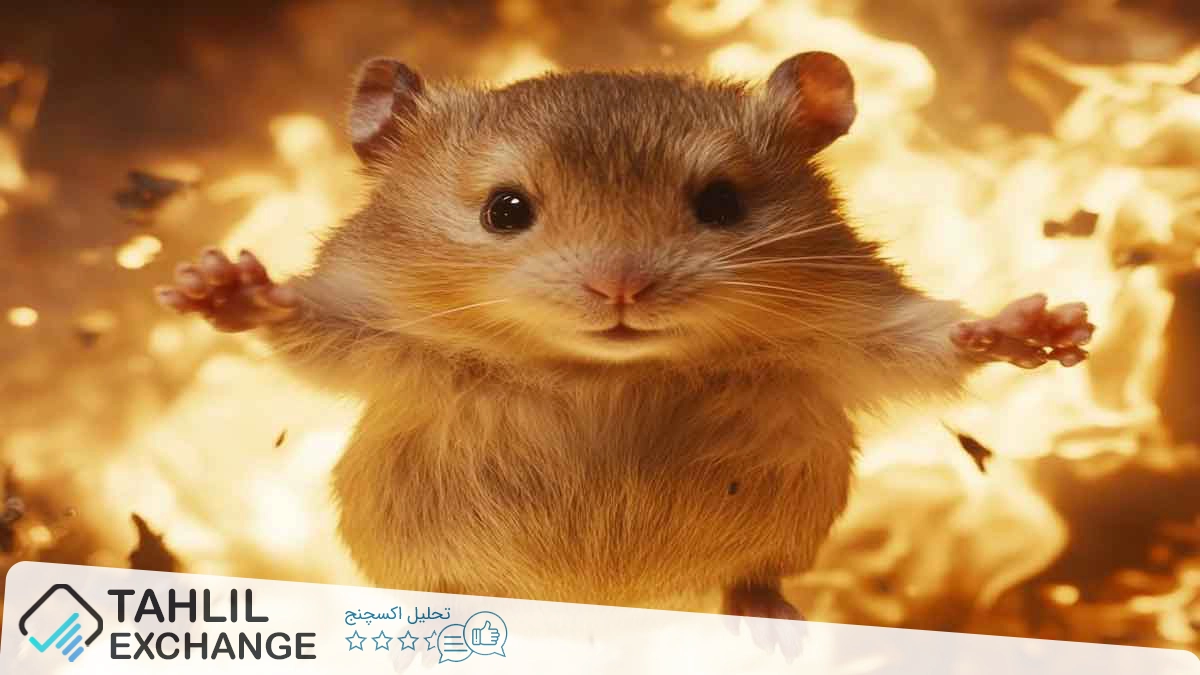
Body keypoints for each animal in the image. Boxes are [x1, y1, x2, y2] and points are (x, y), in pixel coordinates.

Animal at [155, 52, 1094, 620]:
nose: (621, 288)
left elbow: (932, 340)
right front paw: (216, 285)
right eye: (505, 210)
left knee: (753, 579)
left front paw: (1051, 328)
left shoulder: (849, 331)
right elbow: (307, 322)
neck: (603, 369)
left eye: (722, 203)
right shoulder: (383, 332)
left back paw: (767, 618)